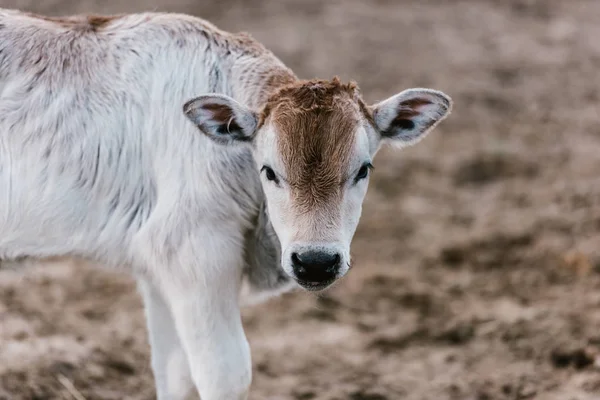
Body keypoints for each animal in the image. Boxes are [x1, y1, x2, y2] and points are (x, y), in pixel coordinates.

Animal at [0, 9, 450, 400]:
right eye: (268, 170)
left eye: (363, 169)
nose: (316, 262)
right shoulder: (194, 251)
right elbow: (224, 374)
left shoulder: (156, 266)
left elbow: (173, 374)